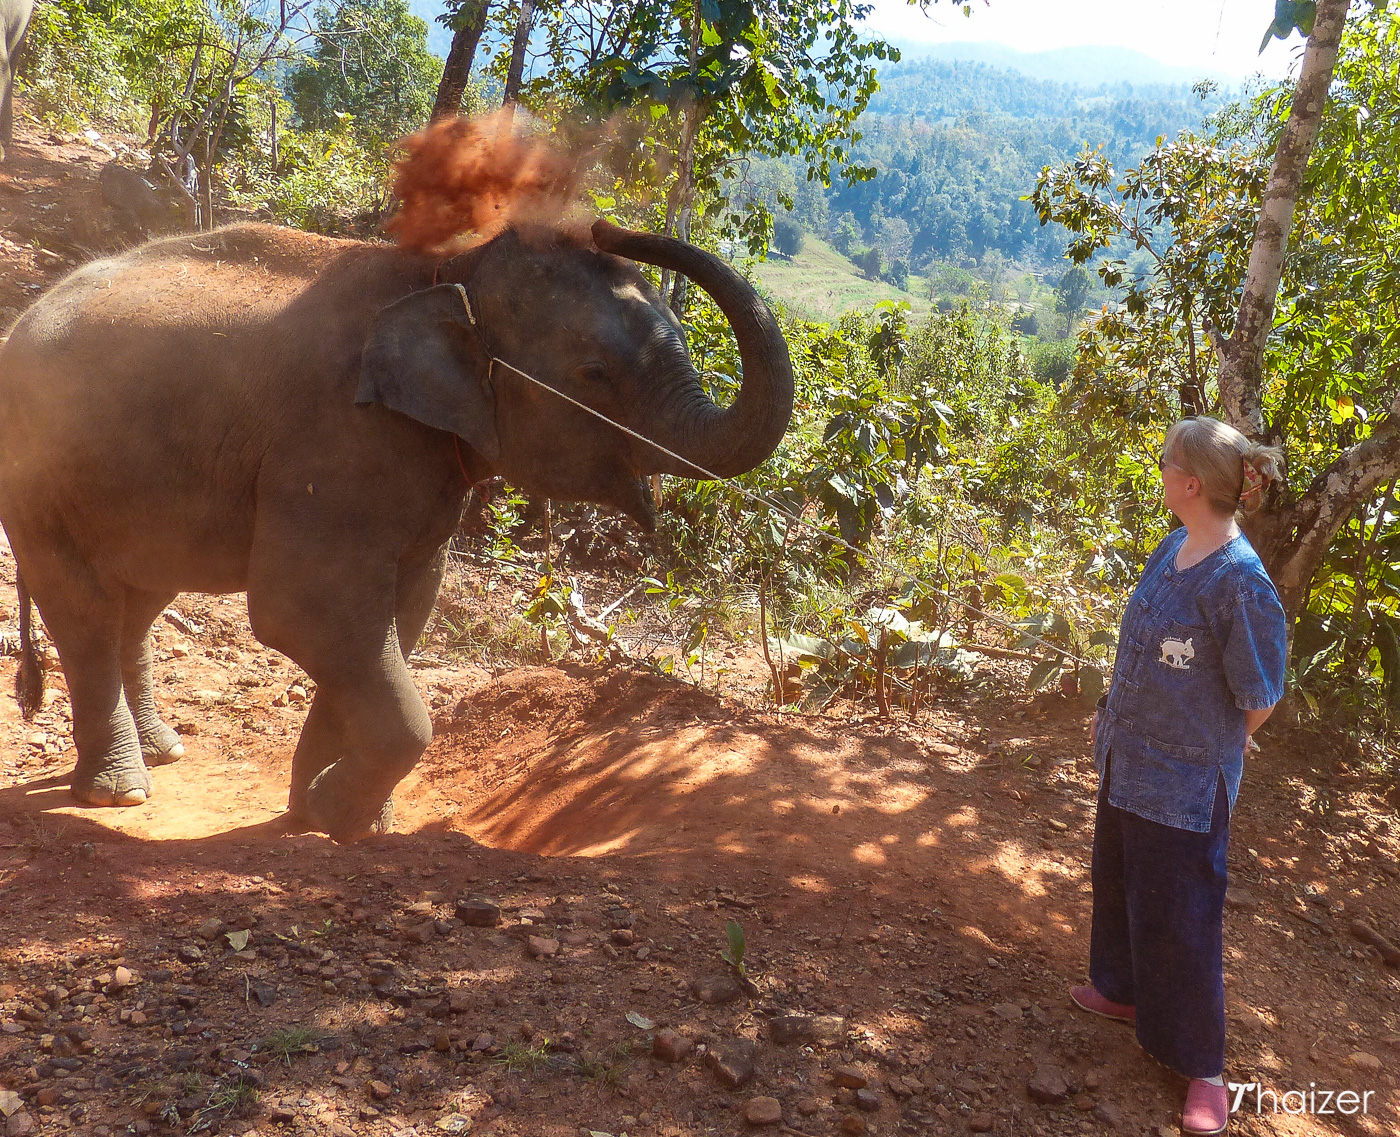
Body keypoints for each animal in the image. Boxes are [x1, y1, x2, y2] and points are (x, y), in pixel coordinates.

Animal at [0, 217, 794, 840]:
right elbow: (305, 612)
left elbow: (395, 616)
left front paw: (326, 814)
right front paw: (335, 813)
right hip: (35, 476)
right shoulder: (338, 437)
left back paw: (163, 752)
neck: (450, 271)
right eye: (594, 373)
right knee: (85, 607)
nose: (605, 226)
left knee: (139, 602)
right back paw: (119, 791)